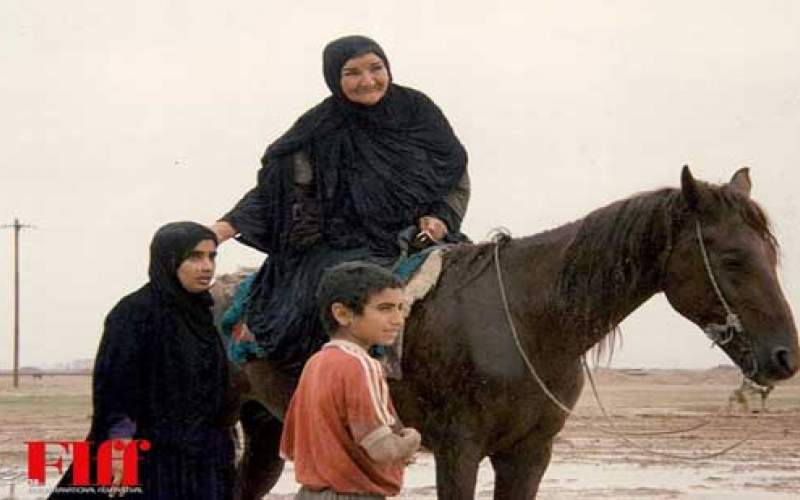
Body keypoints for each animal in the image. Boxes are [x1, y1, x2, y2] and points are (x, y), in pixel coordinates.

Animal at [228, 166, 796, 498]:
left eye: (770, 255)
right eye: (732, 259)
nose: (784, 357)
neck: (524, 324)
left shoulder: (530, 453)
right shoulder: (458, 449)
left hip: (266, 430)